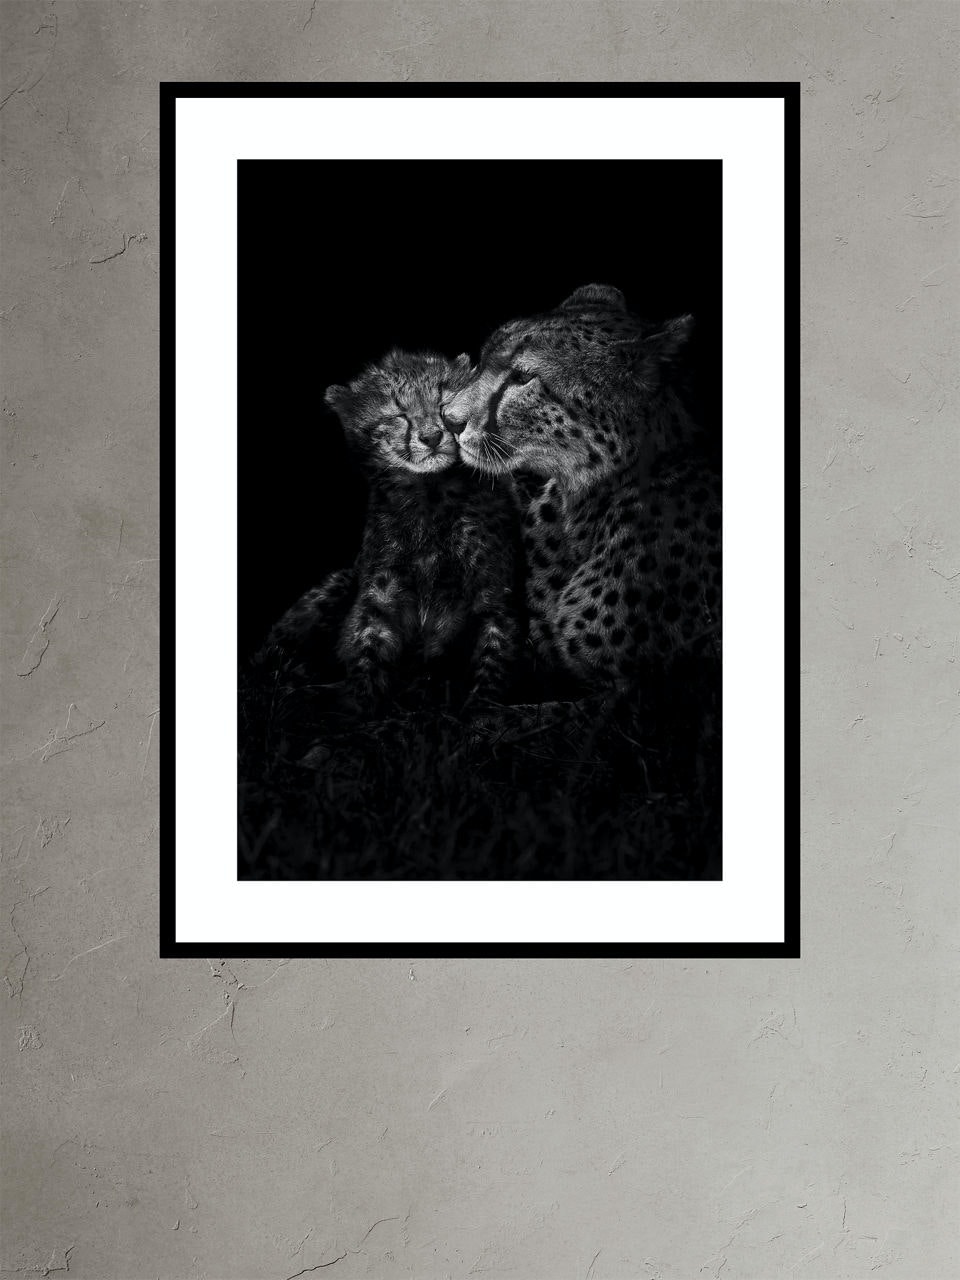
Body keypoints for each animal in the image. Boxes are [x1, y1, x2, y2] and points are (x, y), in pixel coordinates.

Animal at [257, 349, 522, 712]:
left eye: (445, 404)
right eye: (399, 414)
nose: (432, 437)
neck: (430, 496)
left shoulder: (493, 594)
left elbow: (492, 658)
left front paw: (482, 707)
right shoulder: (379, 595)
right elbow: (367, 647)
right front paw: (360, 707)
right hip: (339, 582)